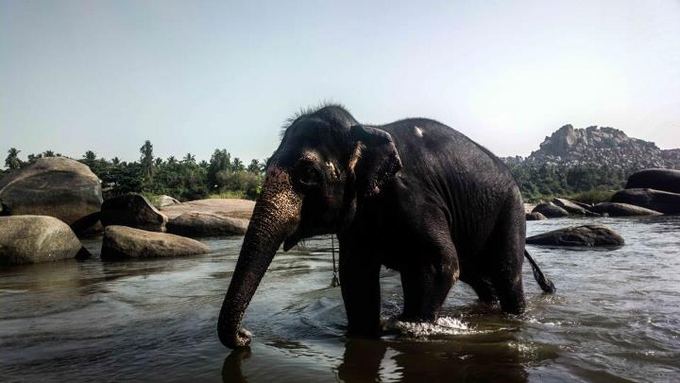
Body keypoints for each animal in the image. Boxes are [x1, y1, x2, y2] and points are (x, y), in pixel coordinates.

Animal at [220, 104, 556, 348]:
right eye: (266, 165)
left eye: (307, 173)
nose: (247, 336)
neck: (365, 128)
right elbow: (356, 276)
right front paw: (368, 331)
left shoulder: (413, 195)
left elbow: (440, 264)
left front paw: (404, 328)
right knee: (477, 278)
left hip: (510, 210)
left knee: (506, 274)